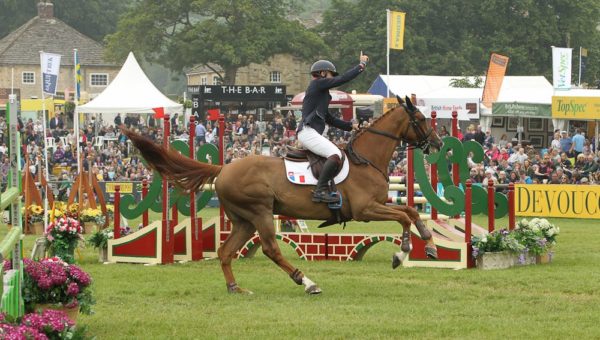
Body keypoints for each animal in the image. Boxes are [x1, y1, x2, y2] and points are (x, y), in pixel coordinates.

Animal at [124, 96, 442, 294]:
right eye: (421, 118)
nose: (438, 143)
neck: (366, 159)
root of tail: (223, 168)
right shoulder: (365, 210)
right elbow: (403, 216)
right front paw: (402, 252)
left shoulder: (379, 203)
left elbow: (410, 211)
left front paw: (429, 244)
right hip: (261, 213)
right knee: (271, 249)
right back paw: (308, 282)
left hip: (244, 221)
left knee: (226, 252)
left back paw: (235, 288)